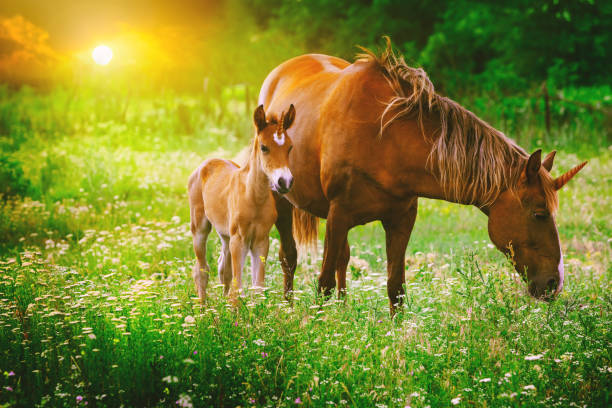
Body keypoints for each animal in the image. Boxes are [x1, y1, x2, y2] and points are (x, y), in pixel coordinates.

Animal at [189, 104, 296, 302]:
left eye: (290, 147)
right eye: (264, 147)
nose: (284, 182)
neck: (254, 197)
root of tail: (207, 162)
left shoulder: (261, 240)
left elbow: (258, 288)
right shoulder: (239, 239)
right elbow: (238, 290)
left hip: (225, 234)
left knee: (223, 268)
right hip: (200, 227)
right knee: (201, 269)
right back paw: (203, 306)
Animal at [258, 39, 588, 312]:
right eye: (539, 213)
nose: (554, 283)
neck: (383, 137)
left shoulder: (401, 220)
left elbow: (395, 288)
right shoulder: (339, 215)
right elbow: (323, 284)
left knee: (342, 259)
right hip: (283, 199)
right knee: (289, 257)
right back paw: (288, 309)